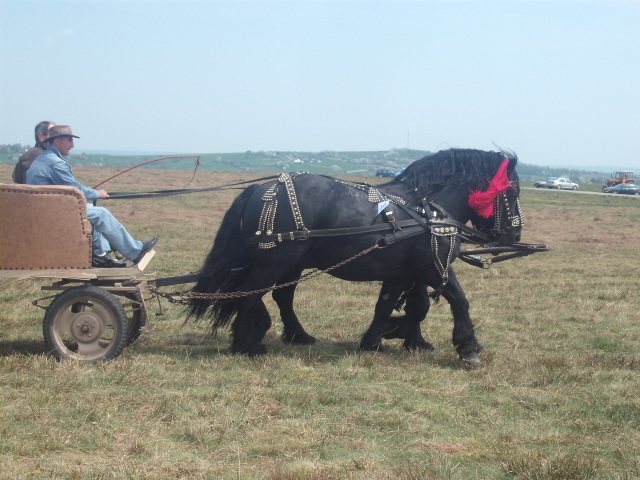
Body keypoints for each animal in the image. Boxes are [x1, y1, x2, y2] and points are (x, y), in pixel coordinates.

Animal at [186, 148, 524, 362]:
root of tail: (262, 188)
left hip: (291, 263)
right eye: (514, 192)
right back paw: (247, 344)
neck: (429, 212)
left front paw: (383, 339)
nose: (515, 235)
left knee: (280, 296)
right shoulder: (432, 268)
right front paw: (468, 348)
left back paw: (297, 335)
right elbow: (458, 300)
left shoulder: (404, 273)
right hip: (275, 261)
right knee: (251, 292)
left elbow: (396, 306)